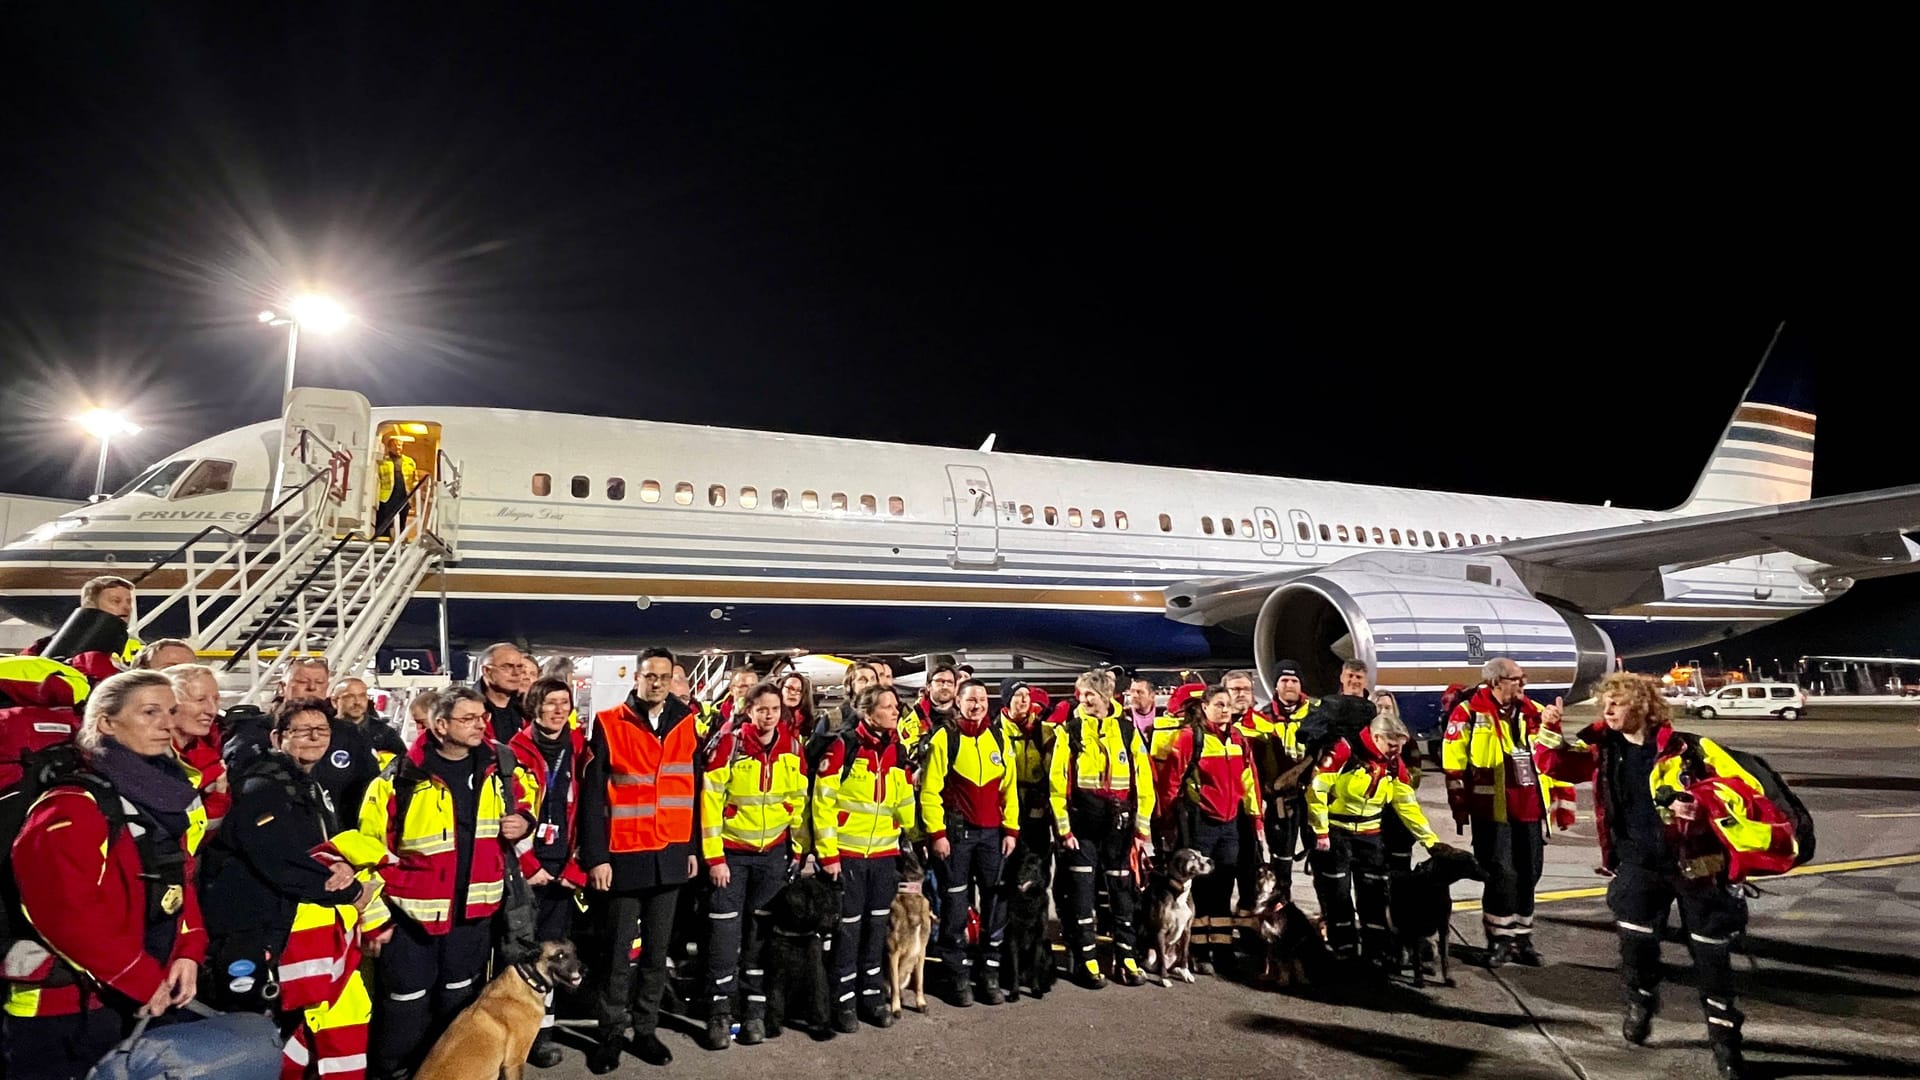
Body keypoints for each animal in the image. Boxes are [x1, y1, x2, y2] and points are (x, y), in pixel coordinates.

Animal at [760, 868, 837, 1030]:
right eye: (819, 901)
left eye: (829, 898)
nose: (837, 918)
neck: (796, 937)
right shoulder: (777, 973)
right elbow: (775, 998)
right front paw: (772, 1025)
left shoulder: (815, 971)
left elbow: (819, 996)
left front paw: (823, 1025)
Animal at [883, 845, 936, 1014]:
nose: (903, 839)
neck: (910, 892)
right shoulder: (892, 953)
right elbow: (894, 985)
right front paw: (895, 1008)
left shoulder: (921, 952)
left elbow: (919, 982)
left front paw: (920, 1002)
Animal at [998, 841, 1059, 999]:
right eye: (1020, 865)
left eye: (1031, 869)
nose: (1018, 878)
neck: (1027, 901)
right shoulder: (1012, 939)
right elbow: (1014, 968)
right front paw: (1014, 992)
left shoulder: (1038, 941)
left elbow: (1036, 967)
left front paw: (1036, 989)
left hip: (1047, 947)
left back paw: (1044, 986)